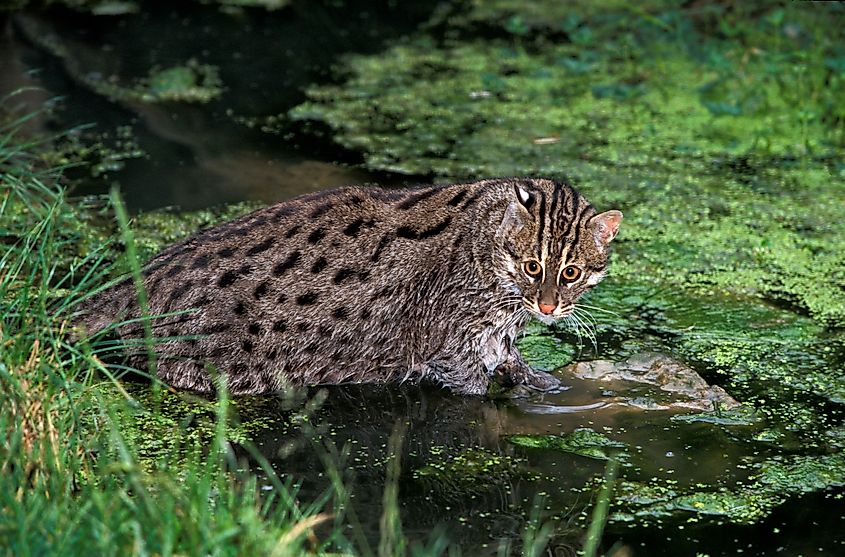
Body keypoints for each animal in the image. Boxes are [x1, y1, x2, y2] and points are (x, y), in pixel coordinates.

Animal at [77, 178, 620, 396]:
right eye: (532, 266)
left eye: (570, 273)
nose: (547, 309)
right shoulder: (452, 344)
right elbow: (474, 384)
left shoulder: (495, 336)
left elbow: (518, 366)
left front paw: (546, 383)